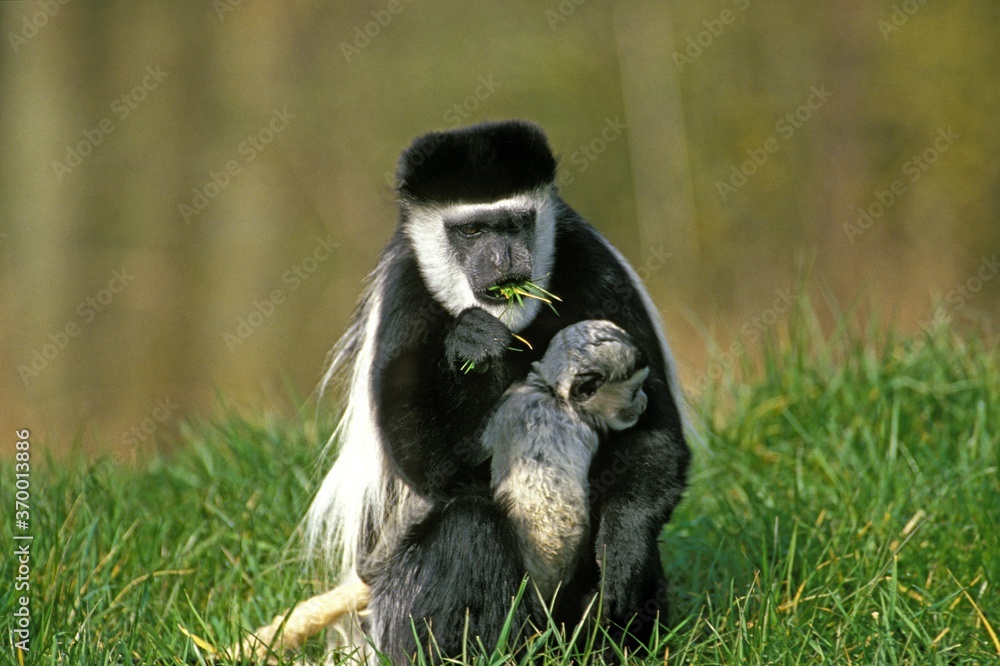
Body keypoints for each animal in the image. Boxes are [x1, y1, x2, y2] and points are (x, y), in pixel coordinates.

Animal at [305, 120, 691, 662]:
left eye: (514, 224)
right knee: (467, 527)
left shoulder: (596, 261)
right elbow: (425, 462)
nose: (503, 259)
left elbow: (655, 434)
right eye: (471, 231)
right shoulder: (404, 298)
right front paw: (471, 343)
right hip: (395, 613)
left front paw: (625, 546)